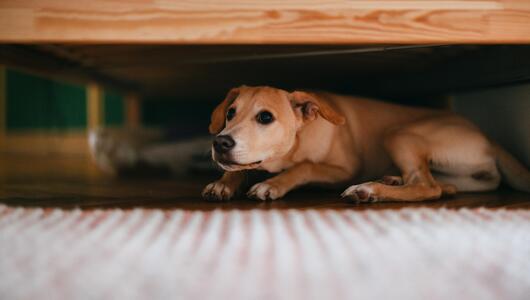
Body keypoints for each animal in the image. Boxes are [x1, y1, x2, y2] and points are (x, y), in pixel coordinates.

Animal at [201, 85, 528, 202]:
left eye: (266, 117)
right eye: (230, 113)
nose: (221, 143)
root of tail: (488, 138)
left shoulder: (343, 169)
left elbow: (305, 167)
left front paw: (273, 184)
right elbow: (241, 168)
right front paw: (224, 183)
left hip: (398, 133)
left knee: (427, 187)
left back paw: (369, 190)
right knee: (441, 185)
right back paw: (391, 180)